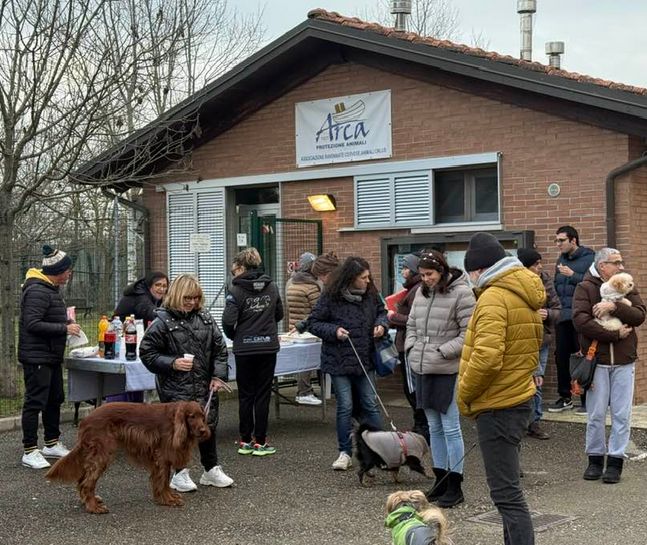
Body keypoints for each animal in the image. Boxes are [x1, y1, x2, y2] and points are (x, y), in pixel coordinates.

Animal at [48, 398, 210, 512]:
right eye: (191, 416)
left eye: (202, 416)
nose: (203, 431)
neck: (175, 422)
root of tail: (85, 420)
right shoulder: (162, 457)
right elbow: (163, 480)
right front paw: (168, 499)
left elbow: (163, 481)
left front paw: (168, 496)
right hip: (101, 455)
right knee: (88, 482)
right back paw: (93, 507)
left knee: (83, 479)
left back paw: (89, 500)